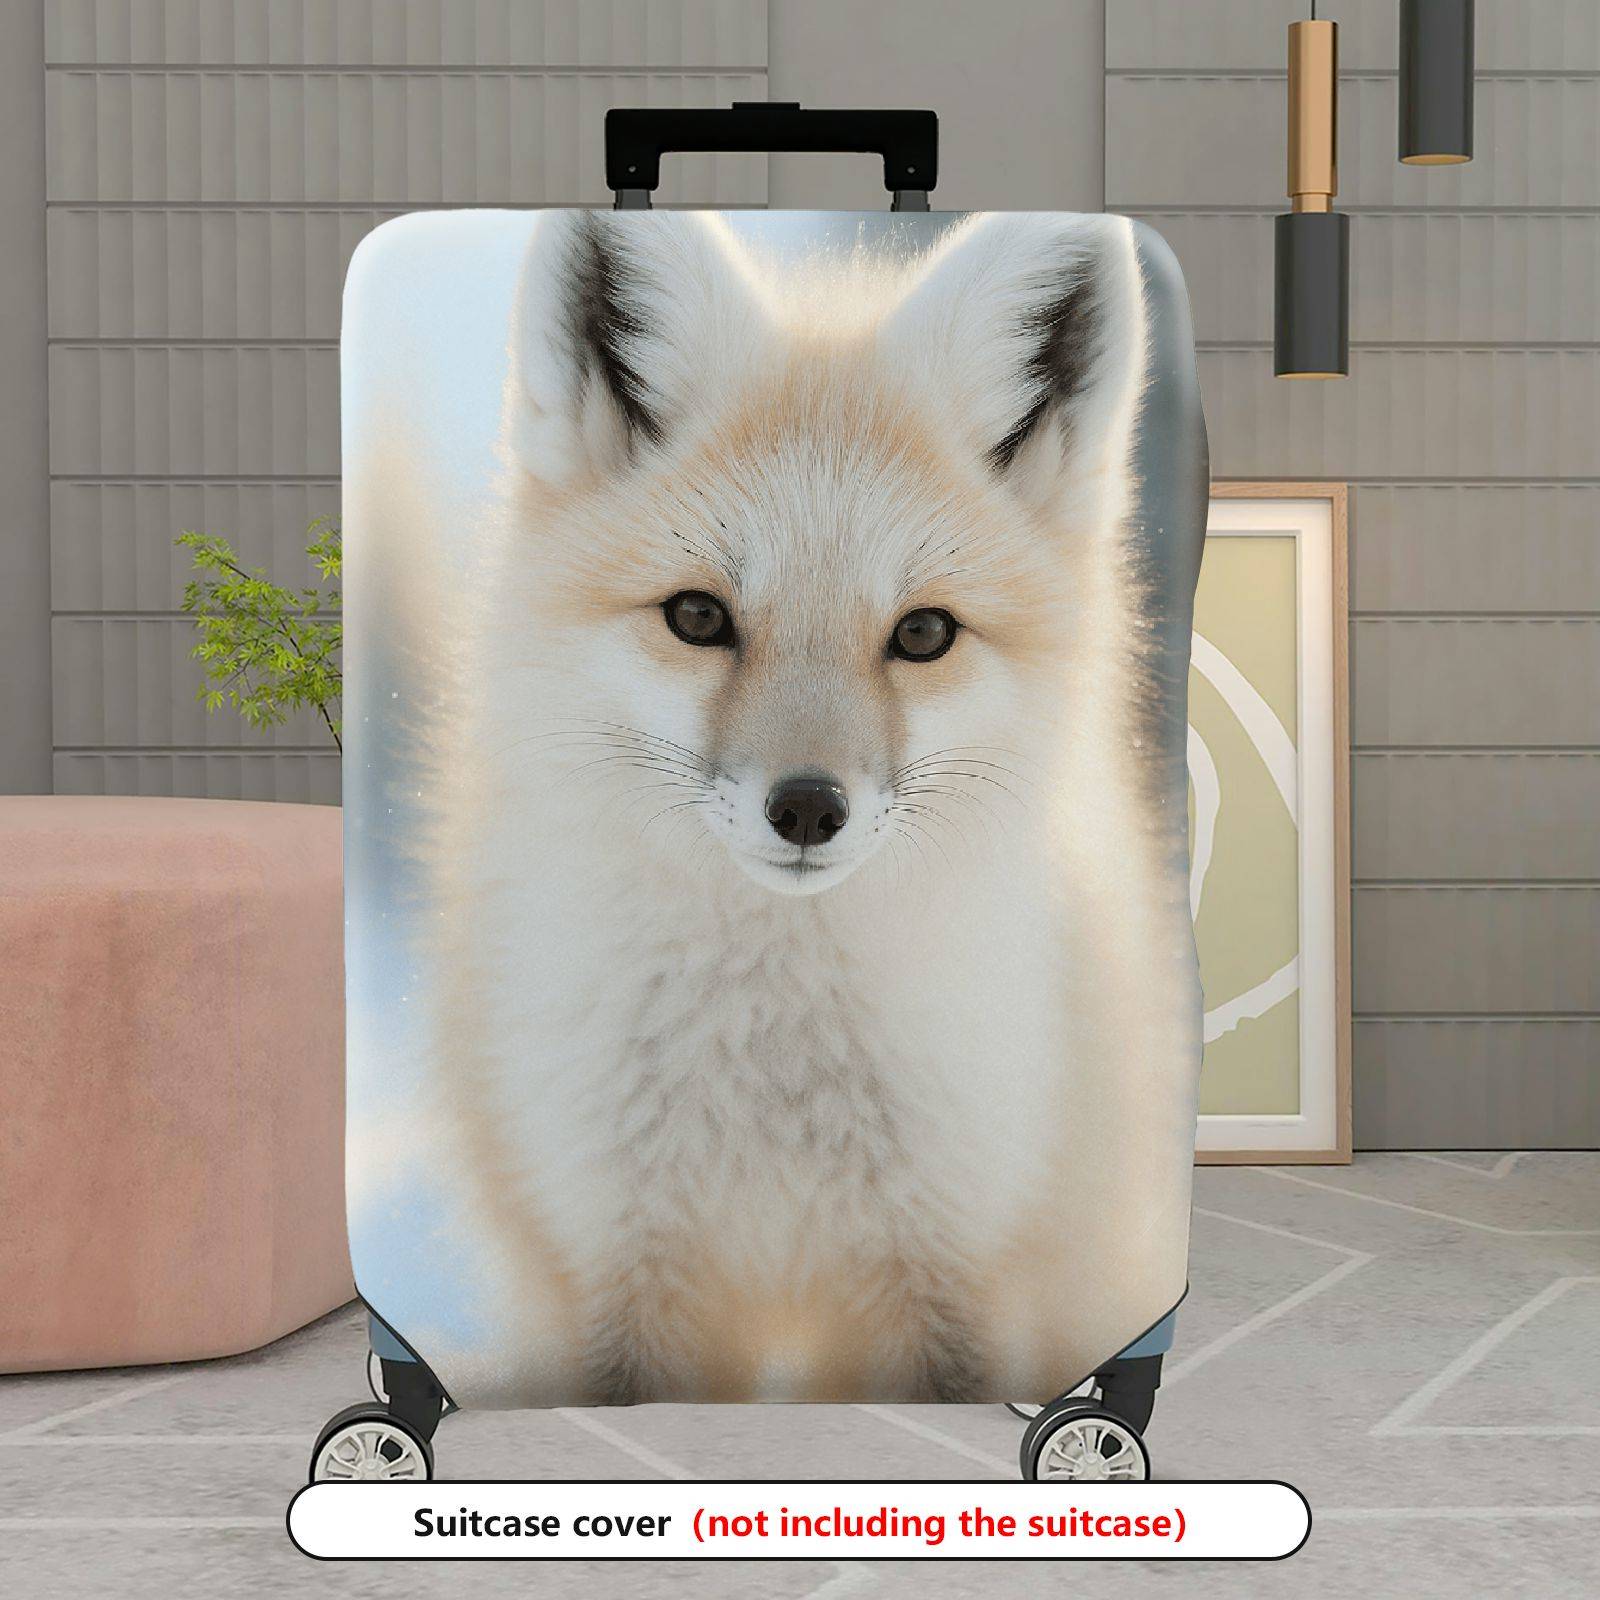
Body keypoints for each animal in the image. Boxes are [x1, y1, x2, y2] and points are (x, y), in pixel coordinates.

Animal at [366, 209, 1202, 1408]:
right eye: (698, 616)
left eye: (922, 634)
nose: (808, 808)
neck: (773, 1068)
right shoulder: (614, 1284)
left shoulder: (961, 1282)